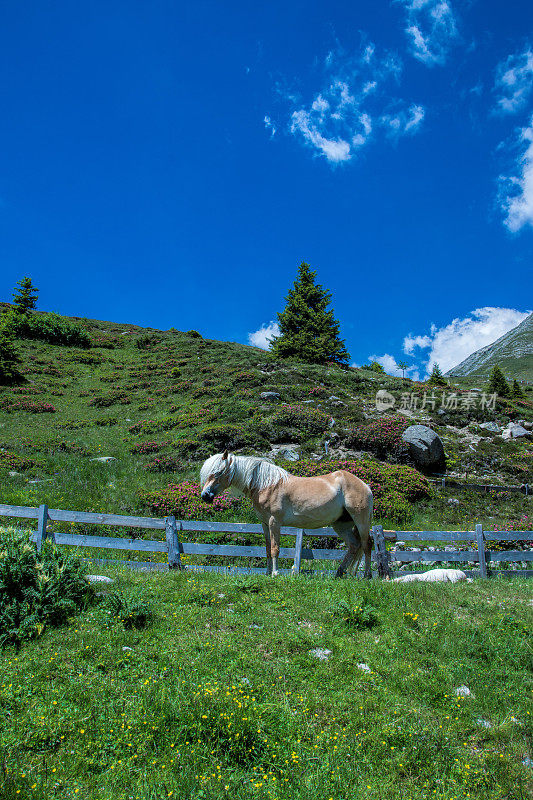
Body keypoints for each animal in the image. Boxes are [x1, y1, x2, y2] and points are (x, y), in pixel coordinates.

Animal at [197, 450, 372, 576]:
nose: (205, 496)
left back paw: (367, 576)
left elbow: (275, 548)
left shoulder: (275, 522)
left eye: (219, 472)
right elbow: (268, 549)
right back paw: (339, 573)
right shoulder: (264, 524)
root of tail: (364, 485)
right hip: (341, 525)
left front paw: (275, 573)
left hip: (361, 521)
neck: (266, 485)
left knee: (366, 545)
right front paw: (268, 573)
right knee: (354, 546)